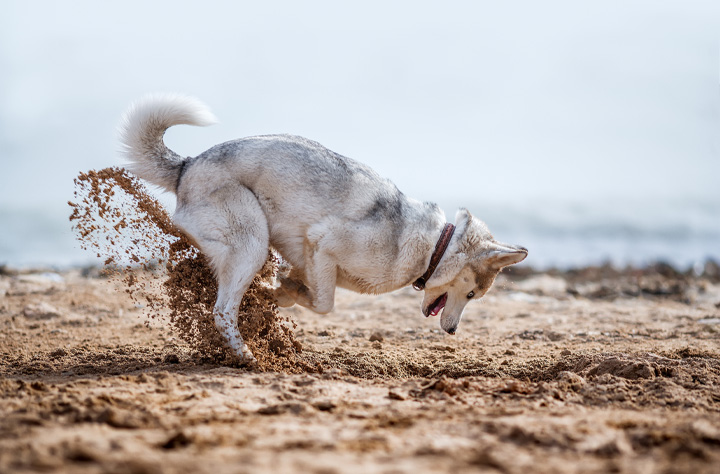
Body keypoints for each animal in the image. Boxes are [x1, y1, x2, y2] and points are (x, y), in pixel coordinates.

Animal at [119, 93, 528, 362]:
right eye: (472, 294)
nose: (453, 331)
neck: (433, 248)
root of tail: (188, 165)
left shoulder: (308, 258)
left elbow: (302, 291)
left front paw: (280, 292)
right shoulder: (322, 243)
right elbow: (324, 304)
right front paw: (280, 294)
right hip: (252, 243)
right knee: (221, 311)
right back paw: (246, 355)